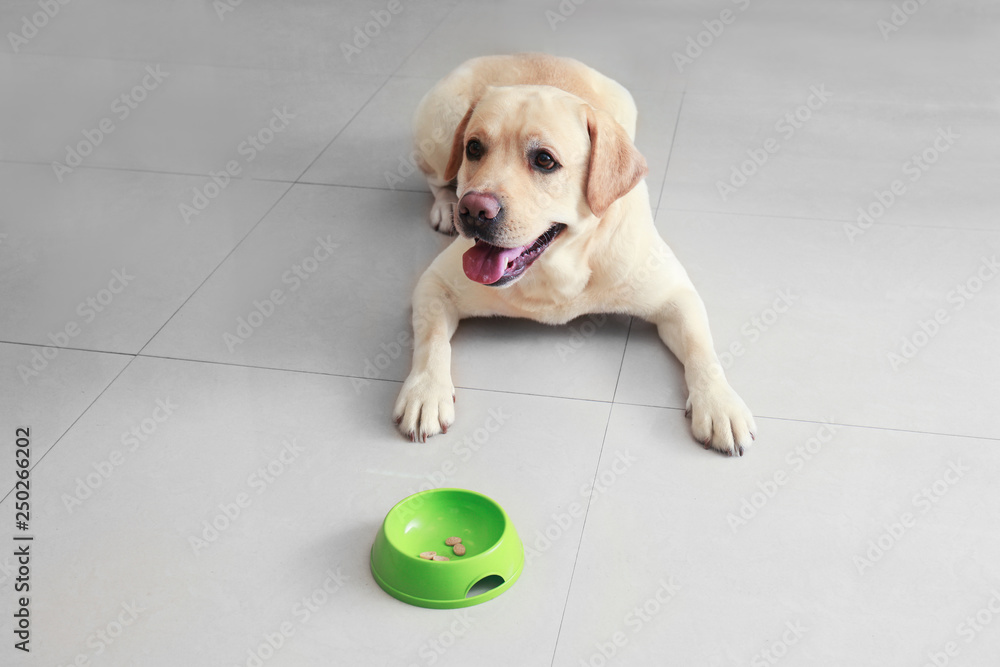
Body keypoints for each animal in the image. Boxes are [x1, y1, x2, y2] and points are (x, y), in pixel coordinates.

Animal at [394, 54, 752, 456]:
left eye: (544, 160)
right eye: (474, 148)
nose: (472, 210)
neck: (558, 268)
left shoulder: (676, 295)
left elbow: (702, 350)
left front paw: (720, 403)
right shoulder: (434, 284)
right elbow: (431, 341)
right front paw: (425, 391)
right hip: (439, 130)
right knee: (437, 178)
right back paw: (445, 206)